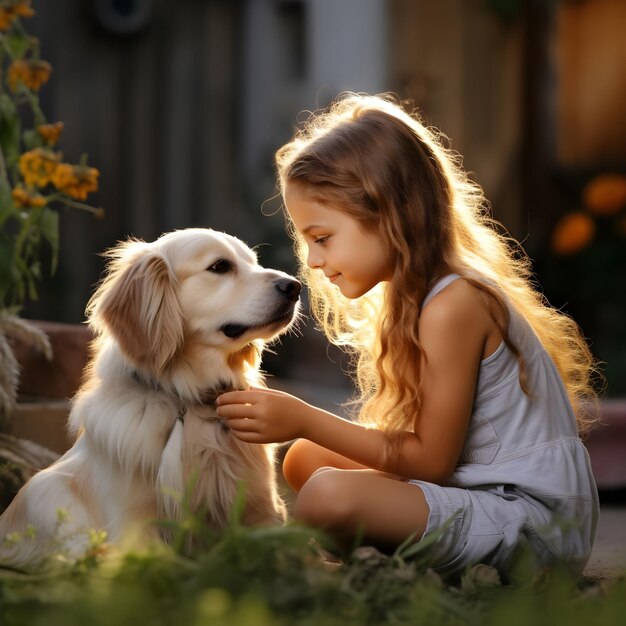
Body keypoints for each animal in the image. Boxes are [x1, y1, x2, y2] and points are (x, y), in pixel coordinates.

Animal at [0, 227, 300, 564]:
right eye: (220, 266)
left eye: (254, 262)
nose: (295, 286)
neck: (186, 398)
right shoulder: (136, 525)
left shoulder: (261, 511)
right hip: (45, 488)